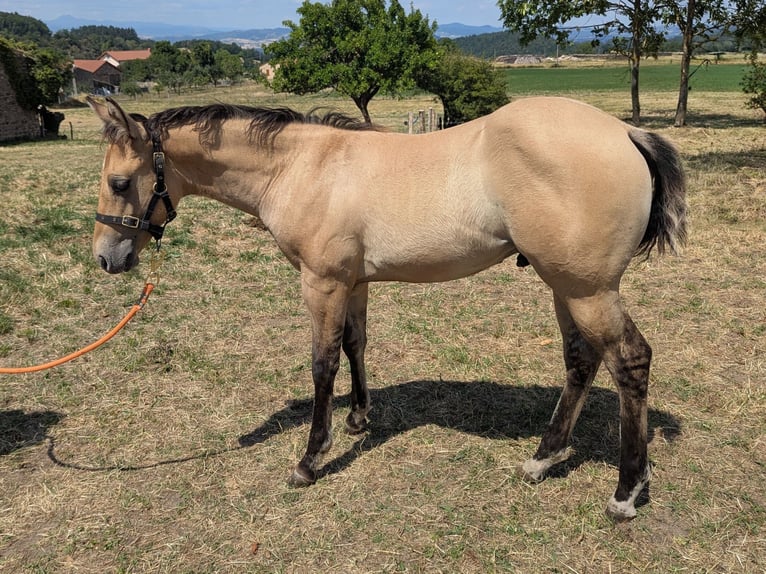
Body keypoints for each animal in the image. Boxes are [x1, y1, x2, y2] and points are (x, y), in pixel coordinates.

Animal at [87, 95, 686, 521]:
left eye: (120, 181)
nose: (106, 257)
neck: (305, 167)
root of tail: (626, 133)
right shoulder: (353, 283)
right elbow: (356, 343)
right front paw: (358, 418)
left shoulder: (322, 284)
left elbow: (323, 363)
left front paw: (310, 459)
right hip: (566, 286)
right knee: (581, 359)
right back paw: (545, 457)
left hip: (588, 290)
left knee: (630, 361)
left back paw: (626, 491)